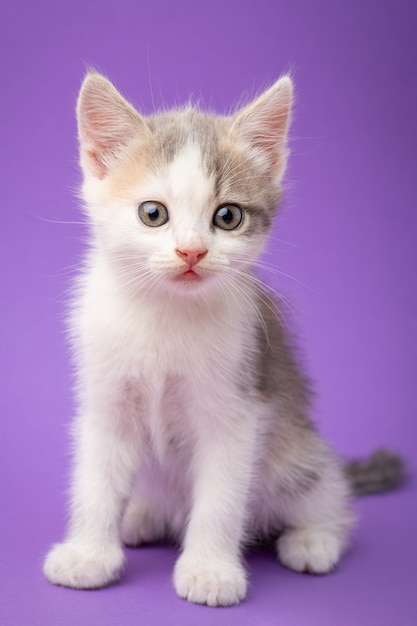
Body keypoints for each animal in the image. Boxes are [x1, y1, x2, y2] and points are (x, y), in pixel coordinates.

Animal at [43, 73, 404, 604]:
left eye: (228, 217)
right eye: (153, 214)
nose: (191, 252)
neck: (165, 314)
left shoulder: (238, 408)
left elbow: (220, 498)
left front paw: (210, 571)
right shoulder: (106, 400)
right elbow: (96, 481)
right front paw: (88, 555)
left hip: (295, 454)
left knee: (327, 495)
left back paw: (314, 538)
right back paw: (142, 516)